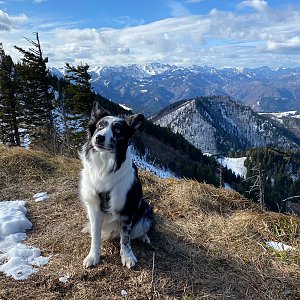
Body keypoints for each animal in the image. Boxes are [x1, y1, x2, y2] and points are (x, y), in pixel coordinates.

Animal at [78, 102, 154, 268]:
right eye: (100, 126)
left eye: (118, 130)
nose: (99, 138)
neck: (105, 165)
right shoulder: (94, 207)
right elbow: (96, 235)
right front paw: (93, 256)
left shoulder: (127, 208)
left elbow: (125, 238)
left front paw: (127, 256)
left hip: (145, 207)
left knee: (143, 227)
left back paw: (145, 237)